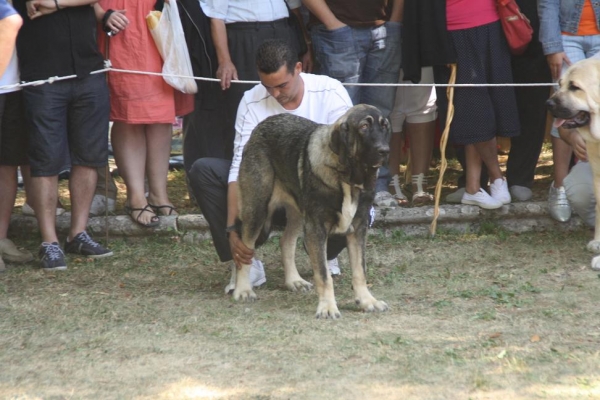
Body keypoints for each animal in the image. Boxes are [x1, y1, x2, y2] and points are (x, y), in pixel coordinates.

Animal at [232, 104, 392, 318]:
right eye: (364, 127)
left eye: (384, 127)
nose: (385, 151)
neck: (346, 175)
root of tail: (260, 127)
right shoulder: (317, 229)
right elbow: (324, 275)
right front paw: (327, 307)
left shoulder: (358, 228)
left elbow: (360, 270)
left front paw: (367, 301)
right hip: (257, 209)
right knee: (244, 247)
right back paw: (242, 289)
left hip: (299, 214)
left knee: (286, 241)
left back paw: (294, 281)